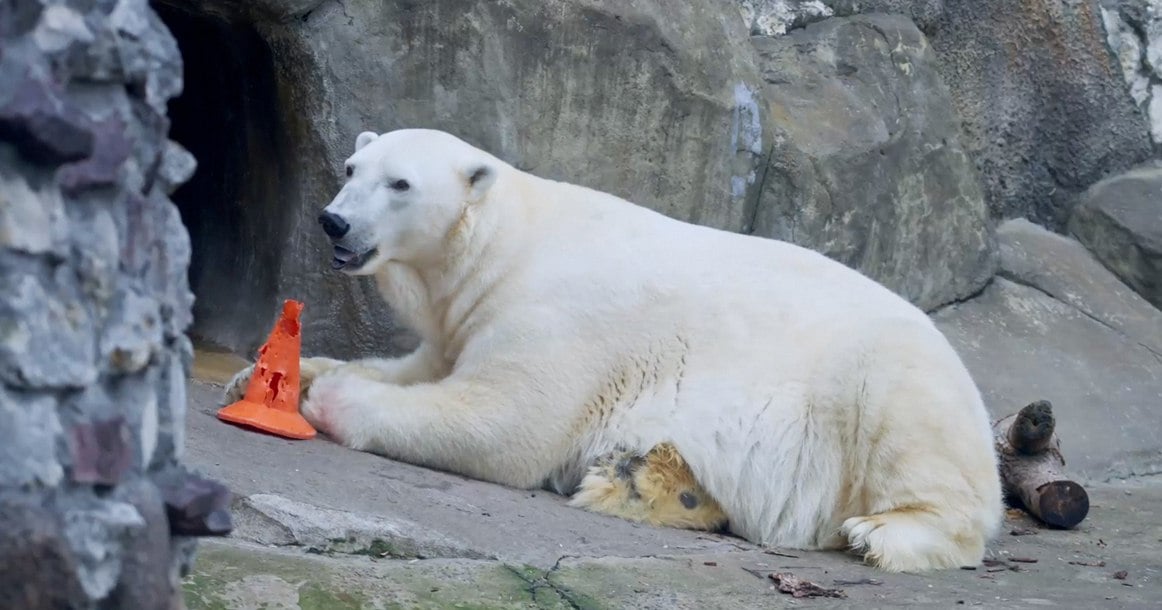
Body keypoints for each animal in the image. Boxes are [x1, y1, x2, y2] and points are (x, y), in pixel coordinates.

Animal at [221, 127, 1003, 571]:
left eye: (401, 182)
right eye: (354, 167)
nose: (333, 221)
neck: (505, 242)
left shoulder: (555, 315)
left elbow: (503, 422)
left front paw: (332, 397)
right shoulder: (463, 320)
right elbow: (423, 367)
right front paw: (272, 374)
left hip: (887, 375)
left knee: (917, 450)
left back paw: (882, 535)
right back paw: (640, 480)